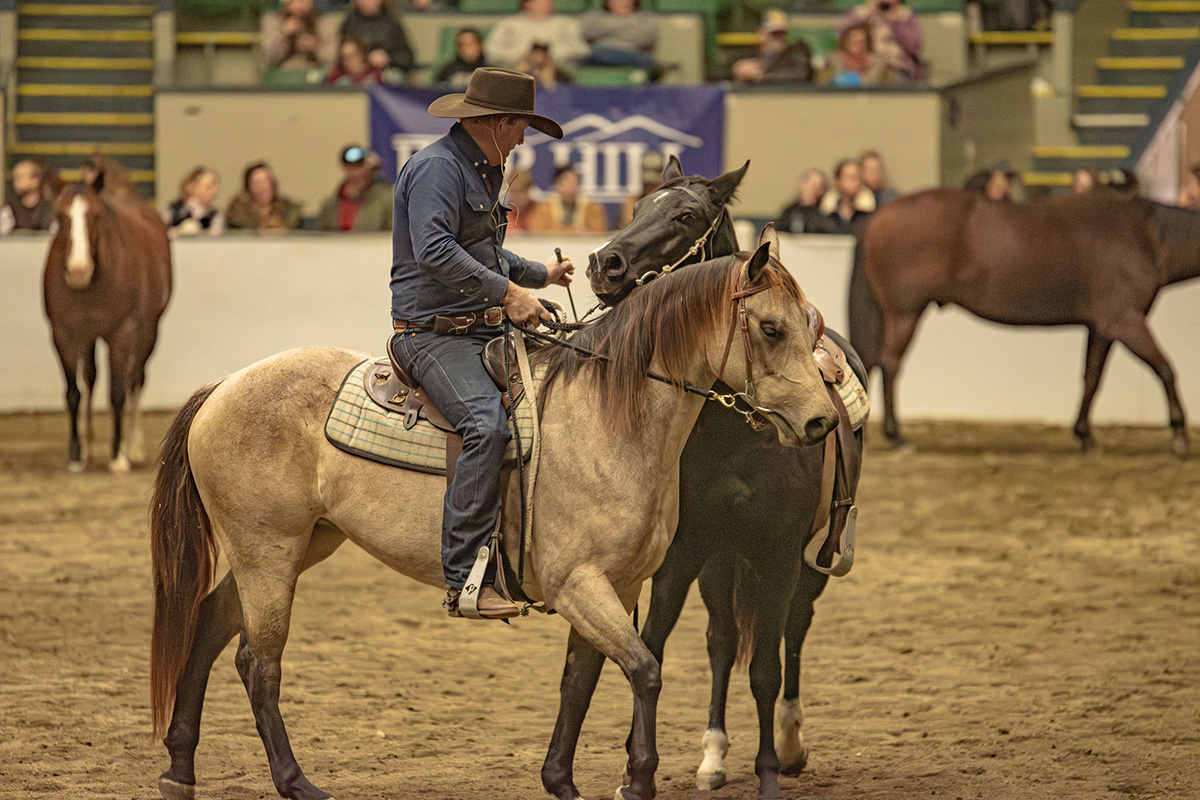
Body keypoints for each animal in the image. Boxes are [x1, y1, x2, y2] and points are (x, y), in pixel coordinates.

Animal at [42, 178, 171, 472]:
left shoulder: (121, 334)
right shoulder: (63, 335)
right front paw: (76, 454)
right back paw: (89, 449)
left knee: (135, 379)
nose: (78, 270)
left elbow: (117, 392)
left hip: (149, 332)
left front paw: (118, 455)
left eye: (96, 215)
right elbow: (74, 392)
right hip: (89, 337)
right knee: (90, 377)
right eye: (60, 216)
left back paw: (133, 446)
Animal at [150, 247, 840, 800]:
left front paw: (561, 781)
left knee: (208, 627)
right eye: (772, 328)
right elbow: (645, 670)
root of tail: (222, 387)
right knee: (257, 665)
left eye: (811, 326)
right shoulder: (578, 584)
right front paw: (638, 780)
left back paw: (180, 770)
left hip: (288, 549)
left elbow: (580, 680)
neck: (607, 419)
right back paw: (296, 783)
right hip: (268, 554)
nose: (822, 421)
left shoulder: (617, 587)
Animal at [588, 158, 864, 800]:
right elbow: (655, 648)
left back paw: (789, 741)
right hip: (719, 561)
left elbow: (764, 668)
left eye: (686, 215)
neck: (734, 433)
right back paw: (712, 754)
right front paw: (635, 772)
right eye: (636, 206)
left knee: (793, 630)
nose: (604, 264)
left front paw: (768, 771)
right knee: (720, 639)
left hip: (807, 562)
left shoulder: (779, 554)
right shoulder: (679, 555)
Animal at [854, 183, 1200, 453]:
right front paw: (1179, 435)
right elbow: (1165, 369)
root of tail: (881, 214)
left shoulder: (1102, 328)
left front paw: (1085, 435)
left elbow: (1091, 378)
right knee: (890, 365)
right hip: (904, 315)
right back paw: (897, 437)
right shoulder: (1124, 321)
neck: (1146, 236)